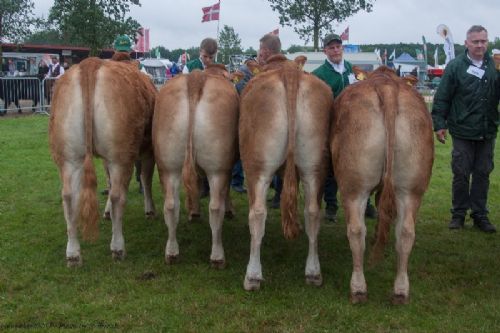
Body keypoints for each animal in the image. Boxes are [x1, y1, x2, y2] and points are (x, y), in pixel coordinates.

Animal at [48, 56, 156, 264]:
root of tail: (91, 63)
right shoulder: (148, 149)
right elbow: (145, 179)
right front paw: (150, 209)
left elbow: (109, 180)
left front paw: (106, 213)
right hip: (120, 155)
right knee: (117, 196)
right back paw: (118, 247)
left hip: (68, 156)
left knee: (69, 196)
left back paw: (73, 254)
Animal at [153, 68, 239, 268]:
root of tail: (196, 78)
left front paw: (194, 212)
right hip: (218, 169)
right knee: (215, 207)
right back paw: (217, 256)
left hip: (168, 166)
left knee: (171, 205)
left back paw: (172, 252)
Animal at [240, 58, 334, 290]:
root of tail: (289, 71)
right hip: (315, 166)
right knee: (313, 211)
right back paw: (313, 273)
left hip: (257, 167)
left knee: (257, 213)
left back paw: (252, 276)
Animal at [332, 65, 434, 304]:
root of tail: (386, 86)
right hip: (411, 189)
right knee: (405, 232)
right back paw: (400, 290)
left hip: (354, 188)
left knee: (357, 230)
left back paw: (358, 289)